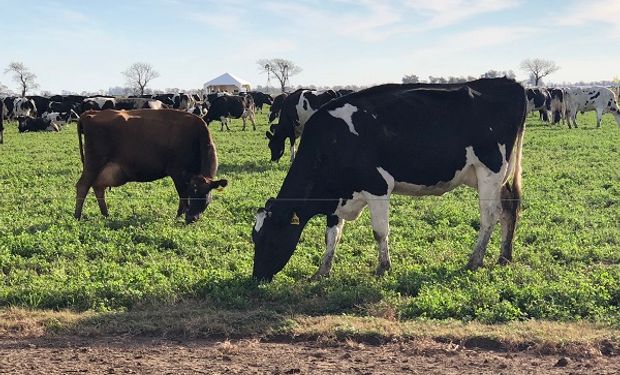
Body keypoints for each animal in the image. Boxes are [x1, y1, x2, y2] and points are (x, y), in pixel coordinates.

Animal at [73, 110, 228, 225]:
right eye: (192, 192)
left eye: (204, 194)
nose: (191, 218)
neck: (196, 137)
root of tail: (90, 113)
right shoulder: (177, 172)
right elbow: (182, 196)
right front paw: (178, 217)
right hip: (94, 162)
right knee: (83, 186)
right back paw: (77, 217)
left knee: (98, 187)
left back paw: (106, 215)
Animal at [252, 77, 528, 282]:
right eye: (255, 238)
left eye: (270, 238)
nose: (257, 277)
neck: (331, 142)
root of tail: (508, 83)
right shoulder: (338, 196)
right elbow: (332, 235)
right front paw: (322, 271)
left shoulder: (377, 186)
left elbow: (379, 231)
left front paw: (383, 267)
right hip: (499, 176)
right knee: (509, 209)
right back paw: (504, 257)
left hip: (490, 170)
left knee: (490, 215)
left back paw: (475, 260)